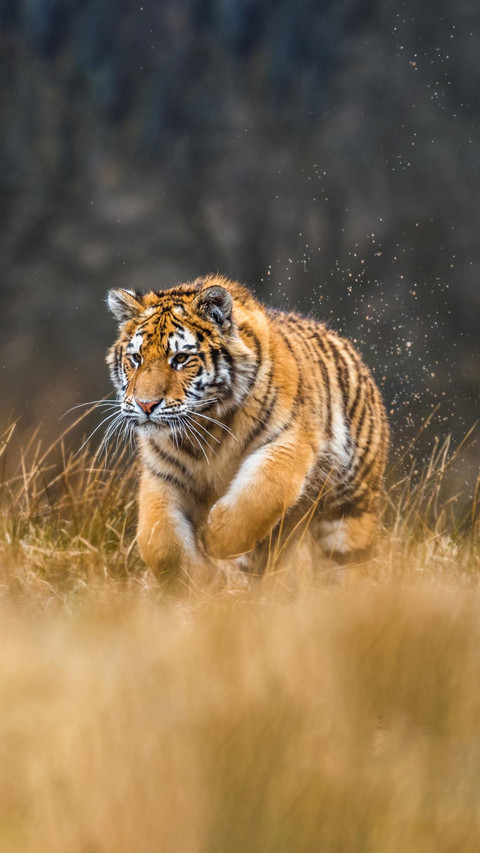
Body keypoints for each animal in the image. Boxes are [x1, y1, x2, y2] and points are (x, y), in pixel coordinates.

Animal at [106, 274, 389, 583]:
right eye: (136, 358)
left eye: (180, 358)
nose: (146, 405)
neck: (204, 425)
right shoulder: (163, 473)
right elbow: (160, 543)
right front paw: (198, 579)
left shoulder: (288, 441)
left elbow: (258, 497)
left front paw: (214, 538)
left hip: (350, 505)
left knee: (349, 564)